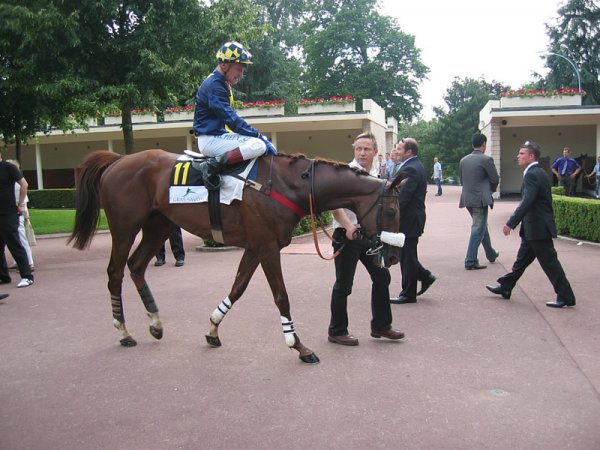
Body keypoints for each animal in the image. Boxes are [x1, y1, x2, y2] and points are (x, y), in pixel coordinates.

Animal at [70, 149, 406, 364]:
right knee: (115, 272)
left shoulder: (256, 246)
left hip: (159, 224)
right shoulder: (268, 247)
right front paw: (297, 345)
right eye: (391, 210)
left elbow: (238, 287)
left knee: (137, 266)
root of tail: (119, 160)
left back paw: (155, 323)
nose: (392, 258)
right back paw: (123, 330)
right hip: (125, 227)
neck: (289, 185)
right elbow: (281, 296)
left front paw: (213, 329)